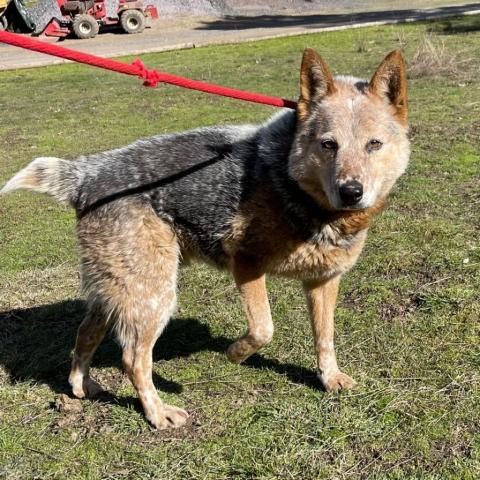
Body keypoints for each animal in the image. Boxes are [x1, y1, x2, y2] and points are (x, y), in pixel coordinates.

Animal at [1, 48, 410, 430]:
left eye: (374, 144)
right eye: (328, 144)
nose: (352, 192)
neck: (304, 196)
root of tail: (87, 175)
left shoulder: (324, 280)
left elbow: (324, 336)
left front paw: (329, 376)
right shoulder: (247, 263)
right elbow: (263, 329)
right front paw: (235, 354)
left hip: (121, 291)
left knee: (85, 334)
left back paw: (82, 387)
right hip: (154, 294)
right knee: (133, 358)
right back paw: (157, 413)